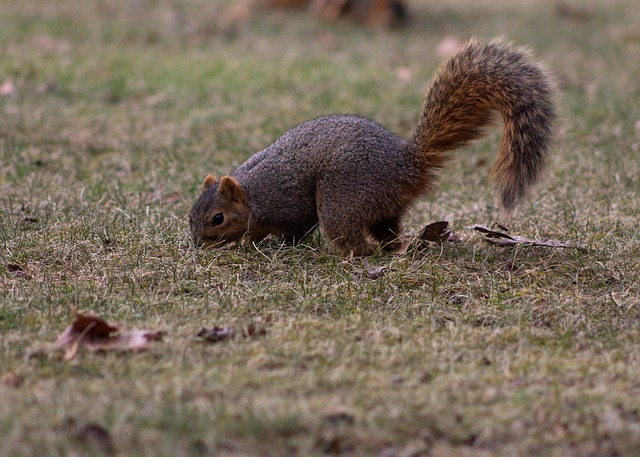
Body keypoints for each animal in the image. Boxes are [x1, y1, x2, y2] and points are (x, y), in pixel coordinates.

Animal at [189, 38, 557, 256]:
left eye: (218, 218)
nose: (196, 244)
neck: (252, 194)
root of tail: (406, 165)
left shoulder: (286, 204)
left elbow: (295, 227)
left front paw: (253, 241)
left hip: (342, 197)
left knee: (351, 236)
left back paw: (355, 254)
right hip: (382, 206)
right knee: (390, 231)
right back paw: (393, 247)